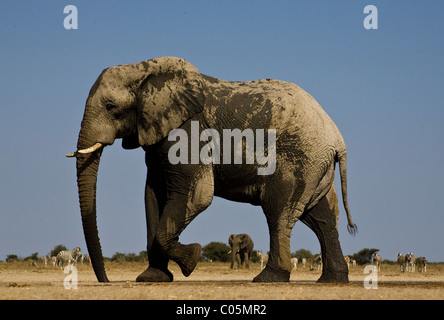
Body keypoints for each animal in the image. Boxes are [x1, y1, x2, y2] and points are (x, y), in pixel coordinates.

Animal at [67, 56, 358, 284]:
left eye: (111, 108)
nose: (105, 280)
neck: (142, 70)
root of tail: (338, 140)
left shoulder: (187, 129)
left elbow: (197, 194)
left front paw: (193, 257)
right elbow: (153, 194)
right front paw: (152, 278)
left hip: (298, 158)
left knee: (278, 212)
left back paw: (268, 278)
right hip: (315, 164)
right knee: (322, 217)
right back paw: (332, 280)